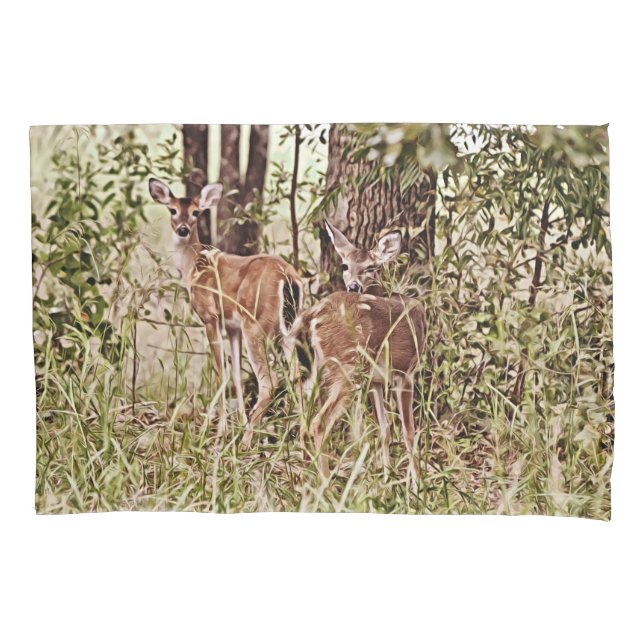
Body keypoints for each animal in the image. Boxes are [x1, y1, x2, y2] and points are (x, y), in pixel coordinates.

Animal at [148, 178, 303, 446]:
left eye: (196, 212)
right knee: (298, 374)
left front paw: (221, 432)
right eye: (173, 210)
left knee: (269, 381)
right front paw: (237, 423)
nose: (182, 230)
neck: (193, 269)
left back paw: (247, 440)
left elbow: (221, 372)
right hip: (286, 327)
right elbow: (236, 375)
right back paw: (304, 437)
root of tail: (288, 277)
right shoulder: (233, 327)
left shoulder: (210, 317)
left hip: (256, 323)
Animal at [285, 219, 427, 480]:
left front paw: (387, 478)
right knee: (318, 424)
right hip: (348, 368)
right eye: (345, 265)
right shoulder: (405, 371)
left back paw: (304, 477)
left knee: (303, 424)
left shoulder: (376, 381)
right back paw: (325, 482)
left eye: (371, 267)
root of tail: (311, 316)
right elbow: (409, 432)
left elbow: (385, 430)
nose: (353, 286)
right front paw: (417, 483)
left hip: (311, 369)